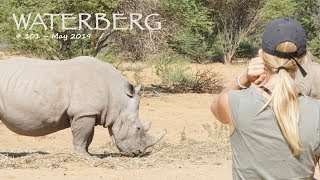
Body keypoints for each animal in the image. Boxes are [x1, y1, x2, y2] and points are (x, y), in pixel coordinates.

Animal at [0, 55, 168, 157]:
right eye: (138, 128)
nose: (138, 153)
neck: (117, 97)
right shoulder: (84, 112)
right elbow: (82, 135)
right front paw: (85, 157)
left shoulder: (90, 113)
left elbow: (88, 136)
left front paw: (88, 154)